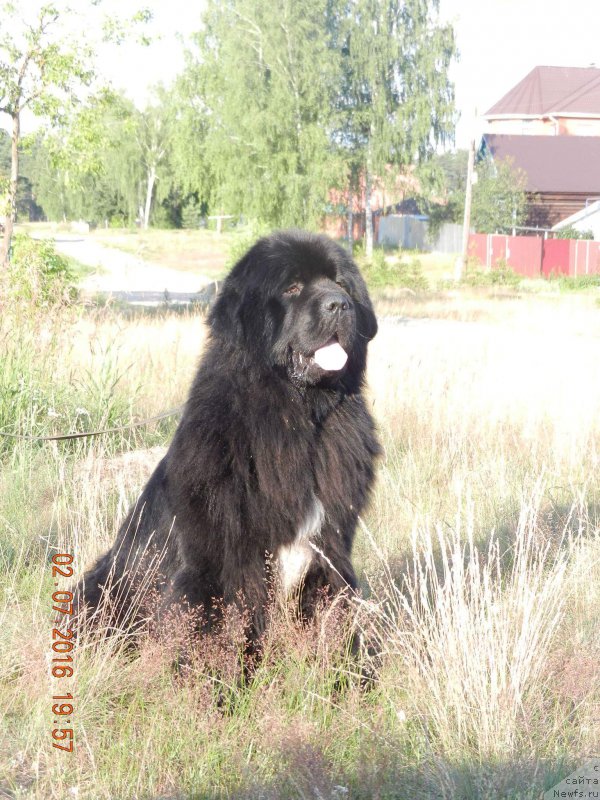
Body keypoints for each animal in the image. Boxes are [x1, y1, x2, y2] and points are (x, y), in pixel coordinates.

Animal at [72, 230, 378, 648]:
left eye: (342, 283)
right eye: (292, 287)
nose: (339, 304)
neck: (296, 418)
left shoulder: (330, 550)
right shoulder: (219, 562)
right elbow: (216, 626)